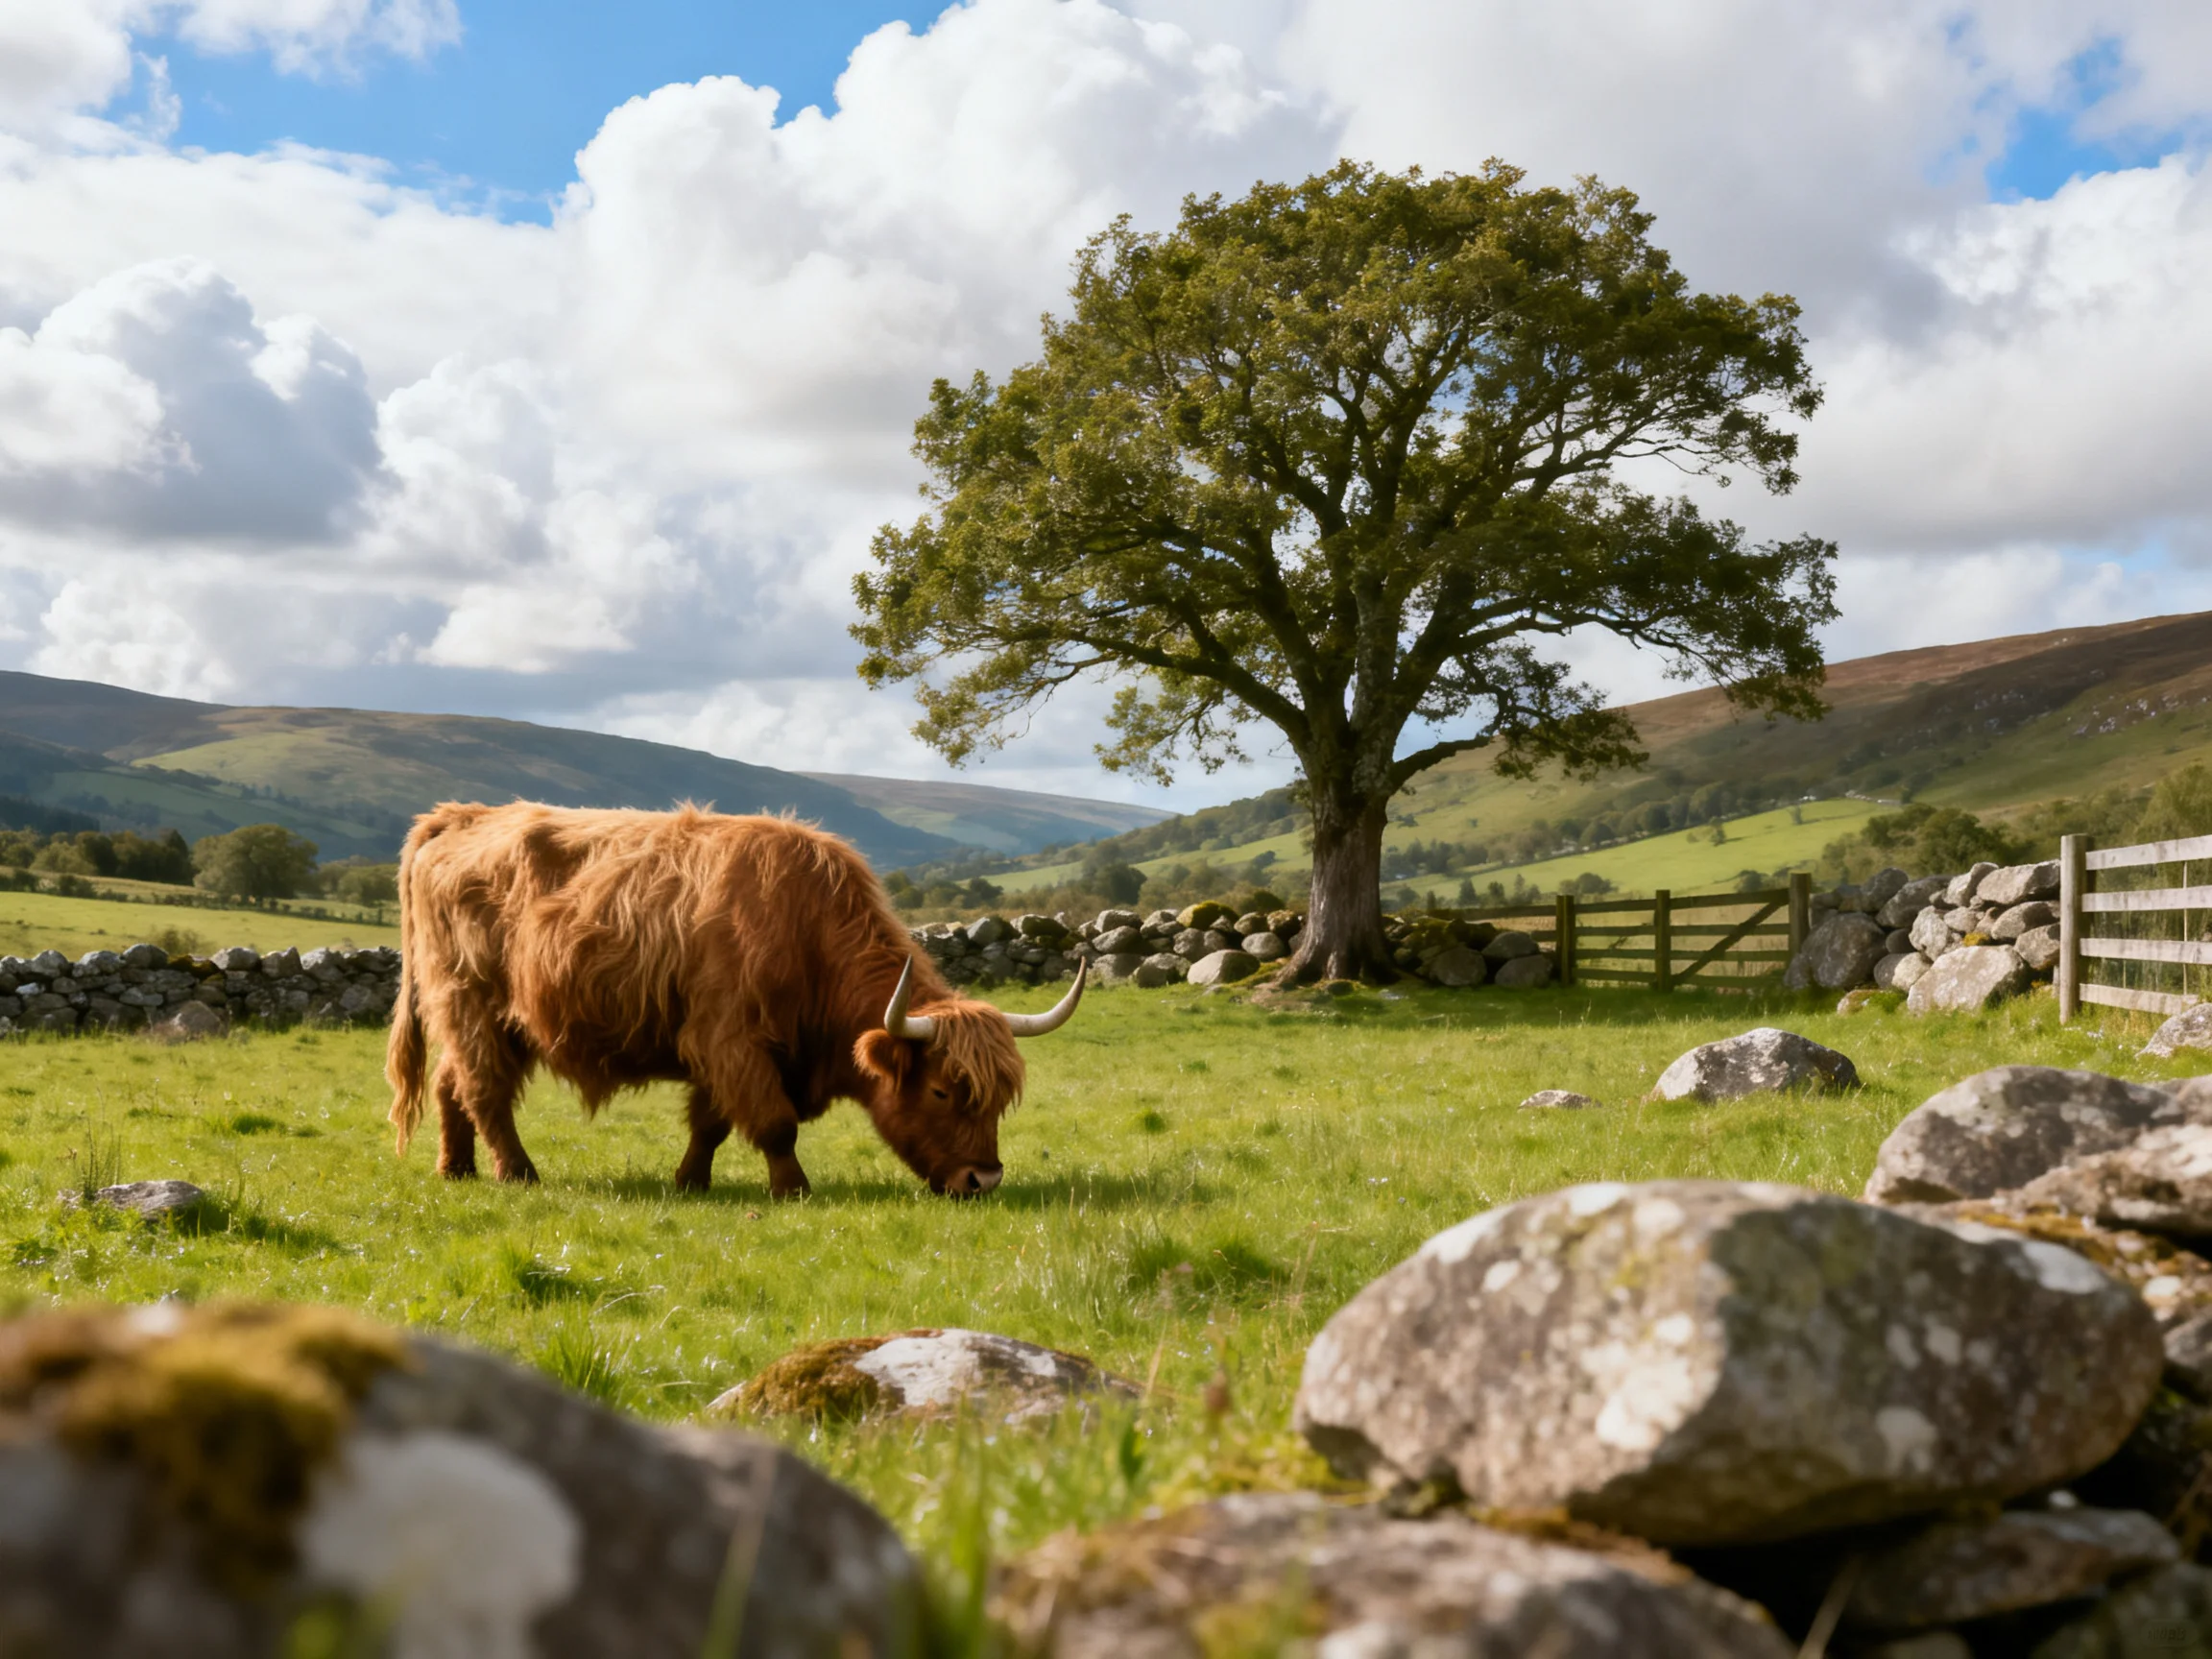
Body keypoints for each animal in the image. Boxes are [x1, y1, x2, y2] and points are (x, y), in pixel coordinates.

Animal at [383, 802, 1084, 1198]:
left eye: (998, 1099)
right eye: (941, 1091)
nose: (983, 1180)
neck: (805, 928)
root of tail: (461, 814)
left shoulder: (718, 1049)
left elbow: (712, 1123)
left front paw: (690, 1181)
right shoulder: (731, 1039)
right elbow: (774, 1123)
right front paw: (794, 1189)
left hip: (499, 1021)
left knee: (451, 1084)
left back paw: (456, 1169)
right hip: (471, 1000)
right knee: (484, 1091)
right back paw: (517, 1173)